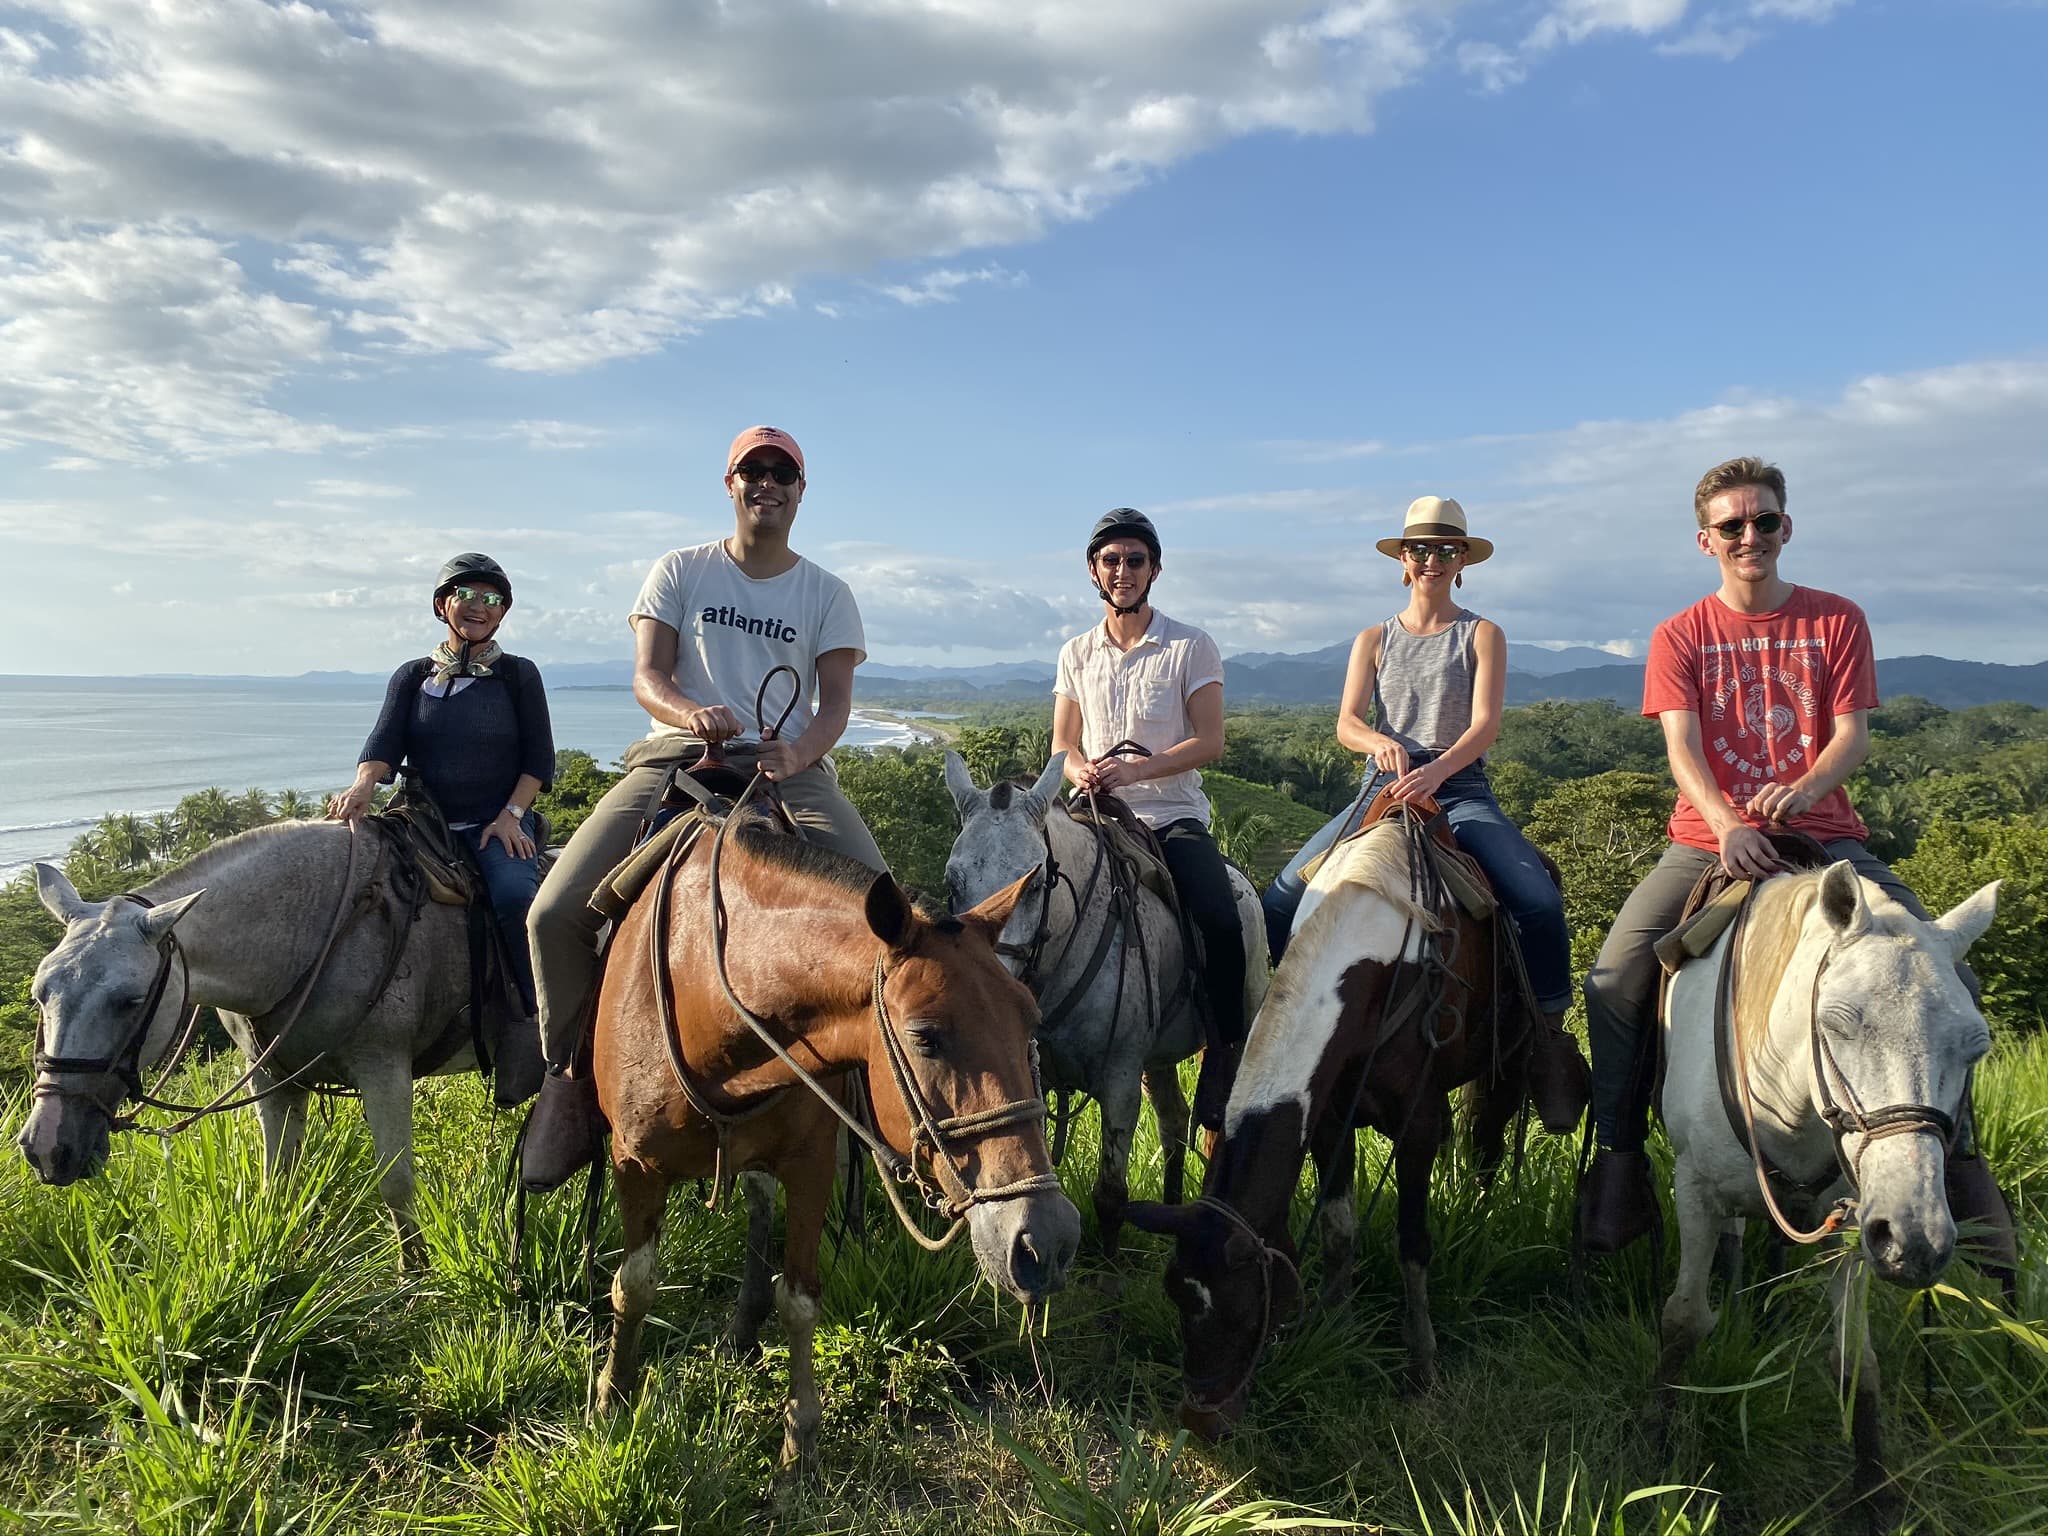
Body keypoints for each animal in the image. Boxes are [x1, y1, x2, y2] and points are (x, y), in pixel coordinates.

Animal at [589, 811, 1081, 1474]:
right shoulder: (634, 1164)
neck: (708, 995)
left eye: (1030, 1018)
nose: (1047, 1240)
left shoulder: (810, 1164)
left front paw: (799, 1445)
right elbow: (634, 1284)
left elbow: (799, 1300)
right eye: (924, 1037)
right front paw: (613, 1397)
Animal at [942, 753, 1261, 1253]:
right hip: (1158, 1061)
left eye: (1036, 884)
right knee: (1173, 1123)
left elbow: (1110, 1193)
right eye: (952, 883)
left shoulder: (1120, 1078)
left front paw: (1110, 1267)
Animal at [1122, 819, 1581, 1441]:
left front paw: (1421, 1365)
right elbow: (1338, 1231)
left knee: (1487, 1142)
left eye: (1246, 1307)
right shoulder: (1328, 1118)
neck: (1380, 957)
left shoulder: (1417, 1122)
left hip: (1507, 1063)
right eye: (1176, 1296)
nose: (1201, 1421)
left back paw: (1477, 1217)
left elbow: (1413, 1242)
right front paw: (1335, 1326)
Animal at [1646, 860, 1998, 1523]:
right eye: (1836, 1023)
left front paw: (1874, 1491)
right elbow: (1682, 1320)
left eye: (1977, 1044)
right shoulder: (1695, 1189)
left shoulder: (1857, 1224)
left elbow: (1855, 1358)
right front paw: (1660, 1458)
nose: (1916, 1242)